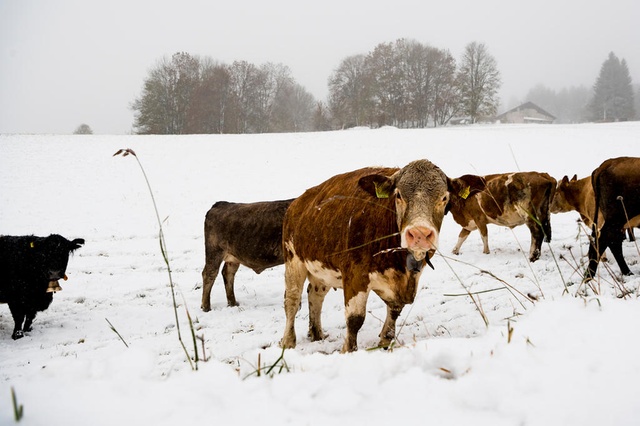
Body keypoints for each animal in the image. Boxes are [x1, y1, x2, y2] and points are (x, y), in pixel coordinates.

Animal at [278, 160, 482, 352]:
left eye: (444, 197)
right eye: (398, 195)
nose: (419, 233)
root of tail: (298, 202)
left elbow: (395, 311)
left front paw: (385, 341)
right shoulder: (355, 274)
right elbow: (355, 319)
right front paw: (348, 350)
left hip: (322, 270)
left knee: (315, 295)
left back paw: (317, 333)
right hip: (293, 260)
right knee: (292, 301)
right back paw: (288, 342)